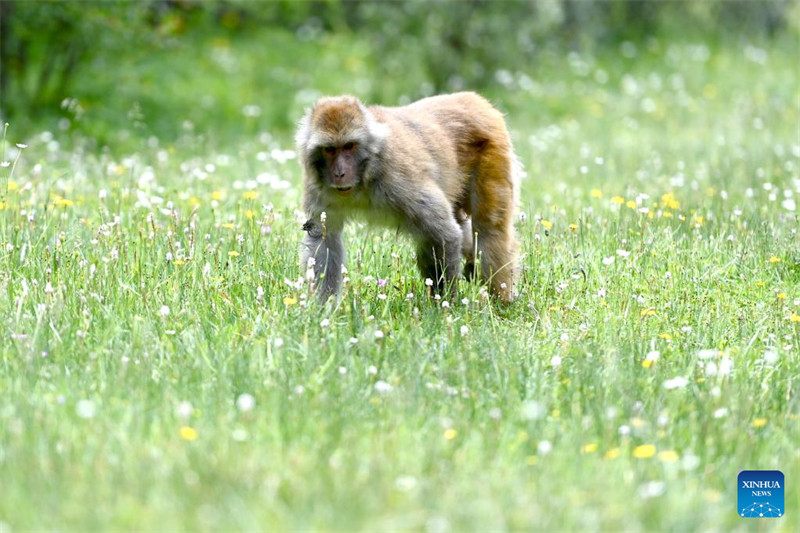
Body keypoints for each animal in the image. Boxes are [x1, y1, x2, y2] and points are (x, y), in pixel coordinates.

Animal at [296, 91, 520, 304]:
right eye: (329, 149)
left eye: (349, 146)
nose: (340, 173)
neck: (365, 175)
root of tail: (474, 100)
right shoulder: (318, 188)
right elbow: (324, 238)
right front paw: (324, 308)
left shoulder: (400, 178)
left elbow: (443, 234)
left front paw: (445, 303)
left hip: (493, 152)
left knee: (489, 228)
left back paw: (502, 302)